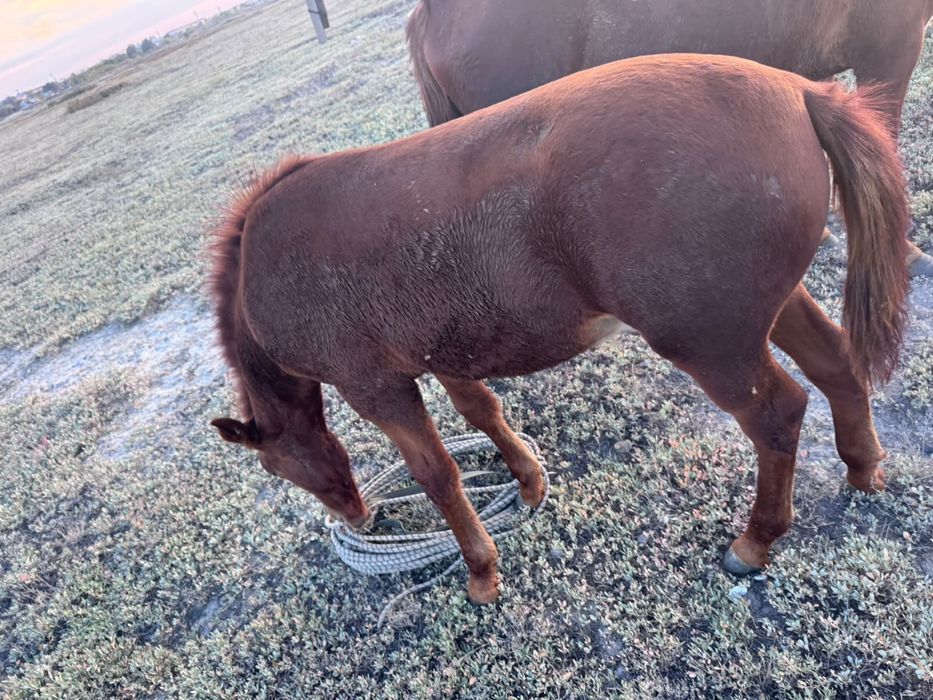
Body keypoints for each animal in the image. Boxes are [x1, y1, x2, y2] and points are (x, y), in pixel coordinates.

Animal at [209, 55, 908, 604]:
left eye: (276, 466)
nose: (359, 516)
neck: (265, 268)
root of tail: (799, 91)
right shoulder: (444, 354)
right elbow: (482, 412)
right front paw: (526, 482)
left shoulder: (376, 387)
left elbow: (438, 475)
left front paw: (481, 572)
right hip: (773, 308)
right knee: (837, 367)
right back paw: (862, 467)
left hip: (715, 347)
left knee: (778, 415)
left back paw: (756, 540)